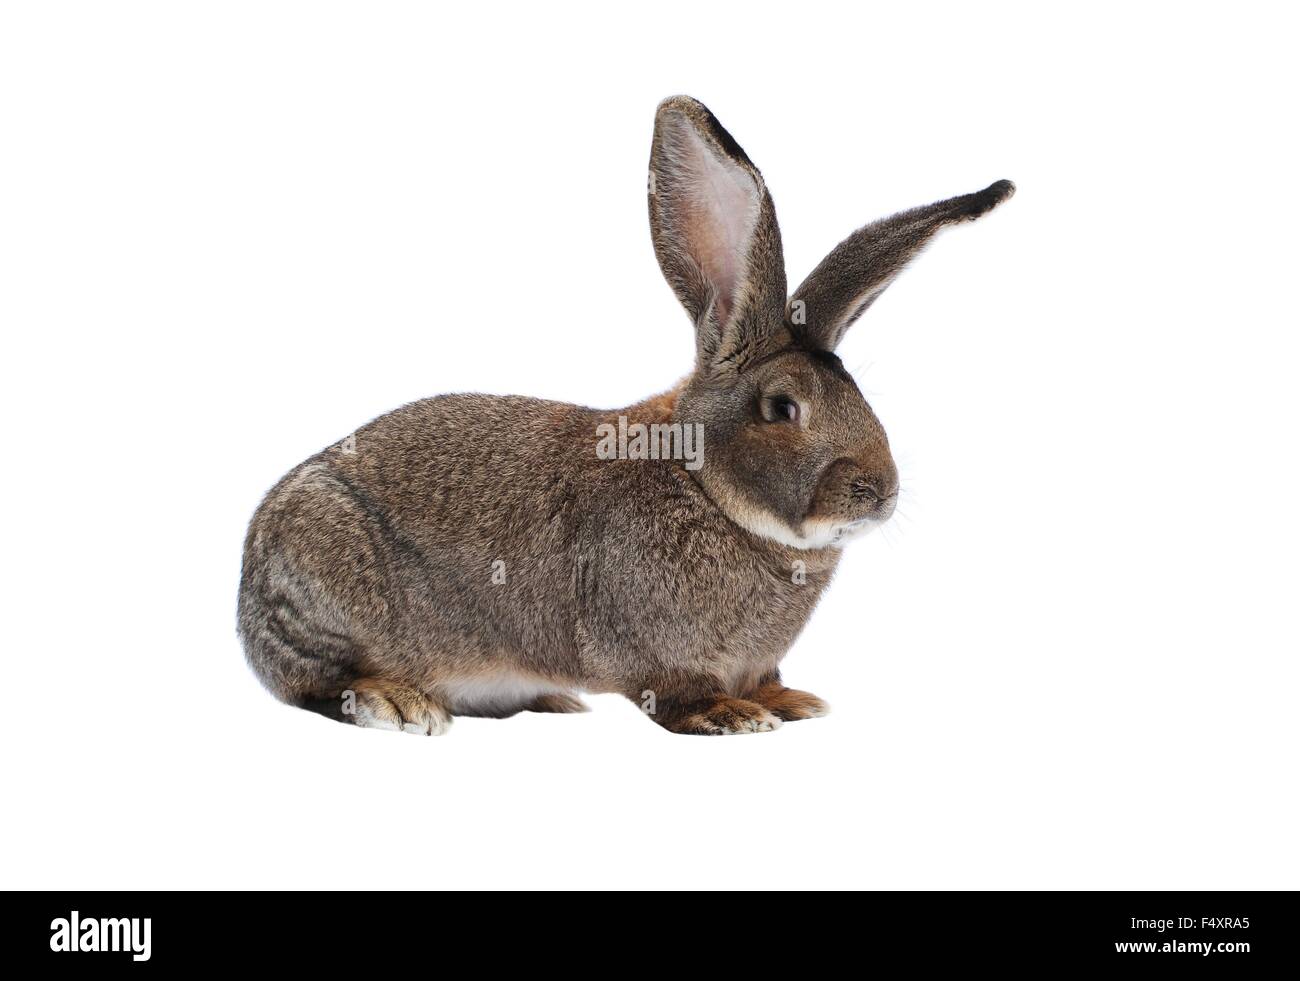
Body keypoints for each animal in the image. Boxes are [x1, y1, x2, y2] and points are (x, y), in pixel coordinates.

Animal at [241, 96, 1013, 738]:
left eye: (858, 393)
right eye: (782, 406)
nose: (879, 493)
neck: (704, 484)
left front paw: (788, 701)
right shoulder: (651, 650)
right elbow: (674, 693)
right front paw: (732, 716)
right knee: (313, 683)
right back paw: (397, 702)